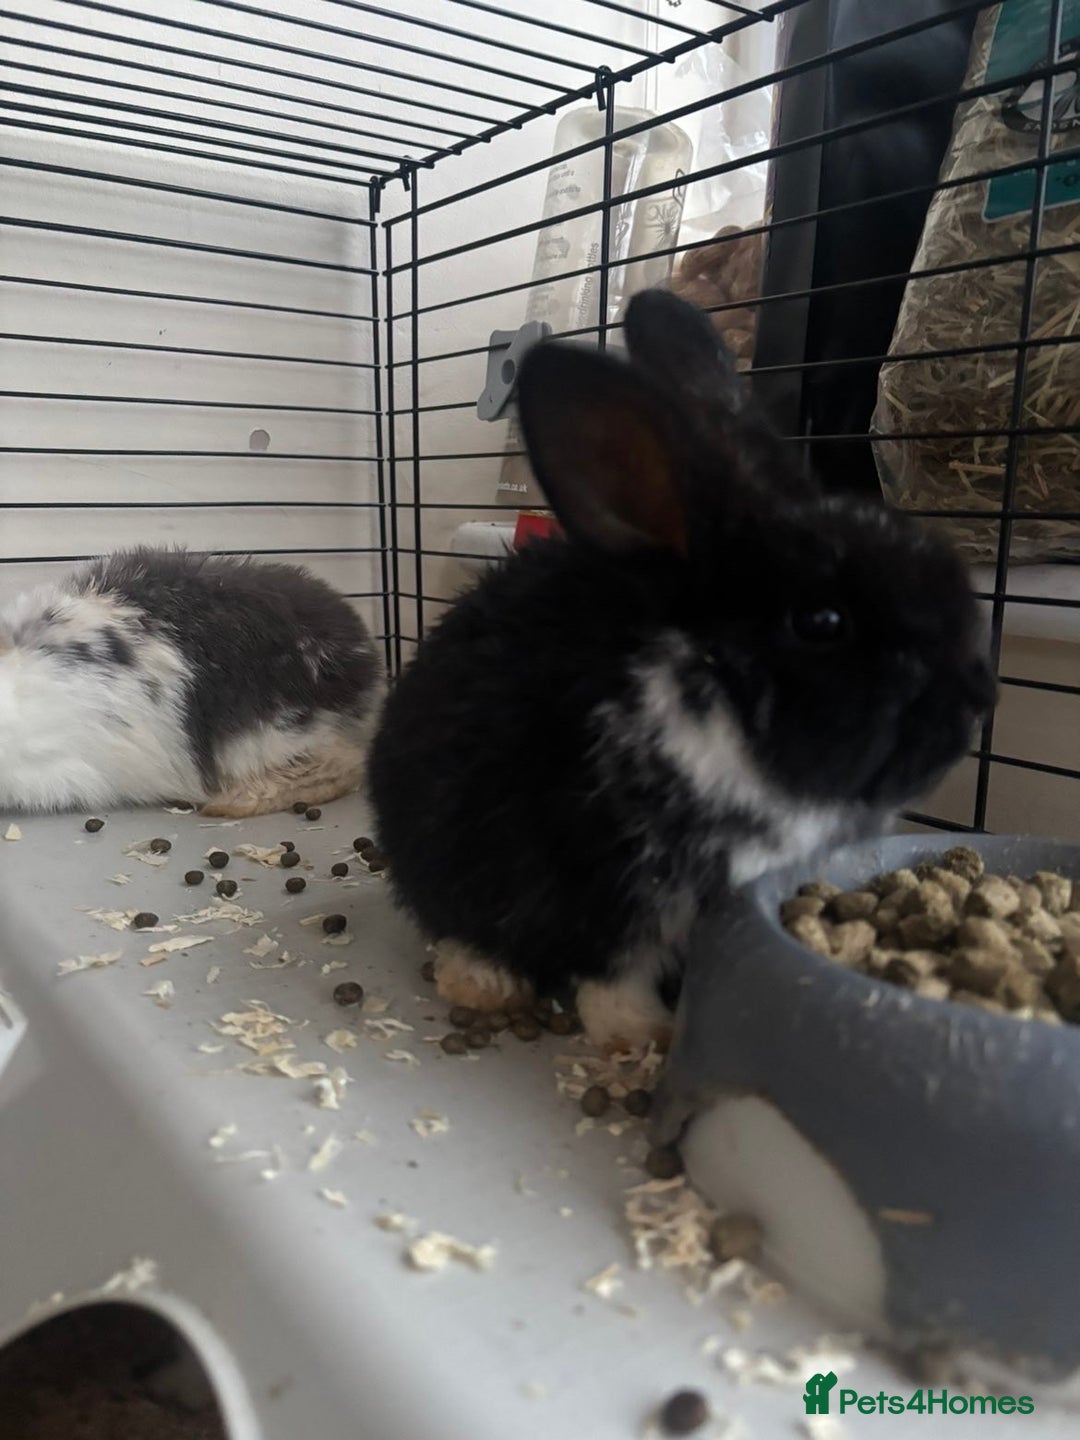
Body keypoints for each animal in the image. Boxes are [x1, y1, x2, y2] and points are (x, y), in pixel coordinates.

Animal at [367, 289, 996, 1053]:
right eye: (821, 623)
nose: (979, 699)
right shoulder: (610, 883)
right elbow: (615, 976)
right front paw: (646, 1037)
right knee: (457, 922)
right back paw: (485, 984)